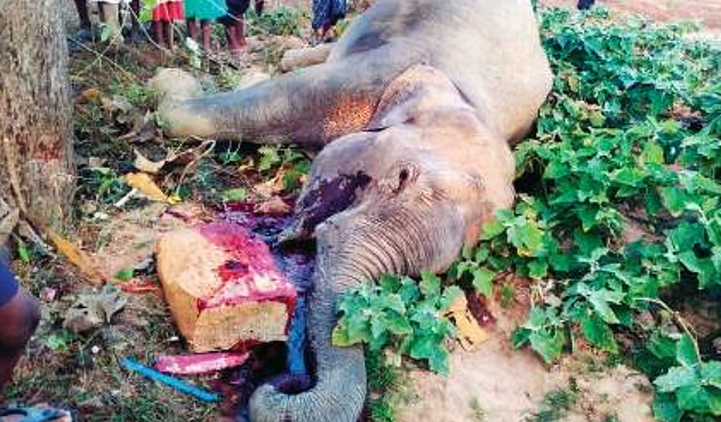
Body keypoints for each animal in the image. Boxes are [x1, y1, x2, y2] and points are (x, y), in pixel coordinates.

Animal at [158, 0, 553, 421]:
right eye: (402, 177)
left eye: (422, 276)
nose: (286, 380)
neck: (469, 101)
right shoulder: (372, 73)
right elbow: (276, 103)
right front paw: (171, 86)